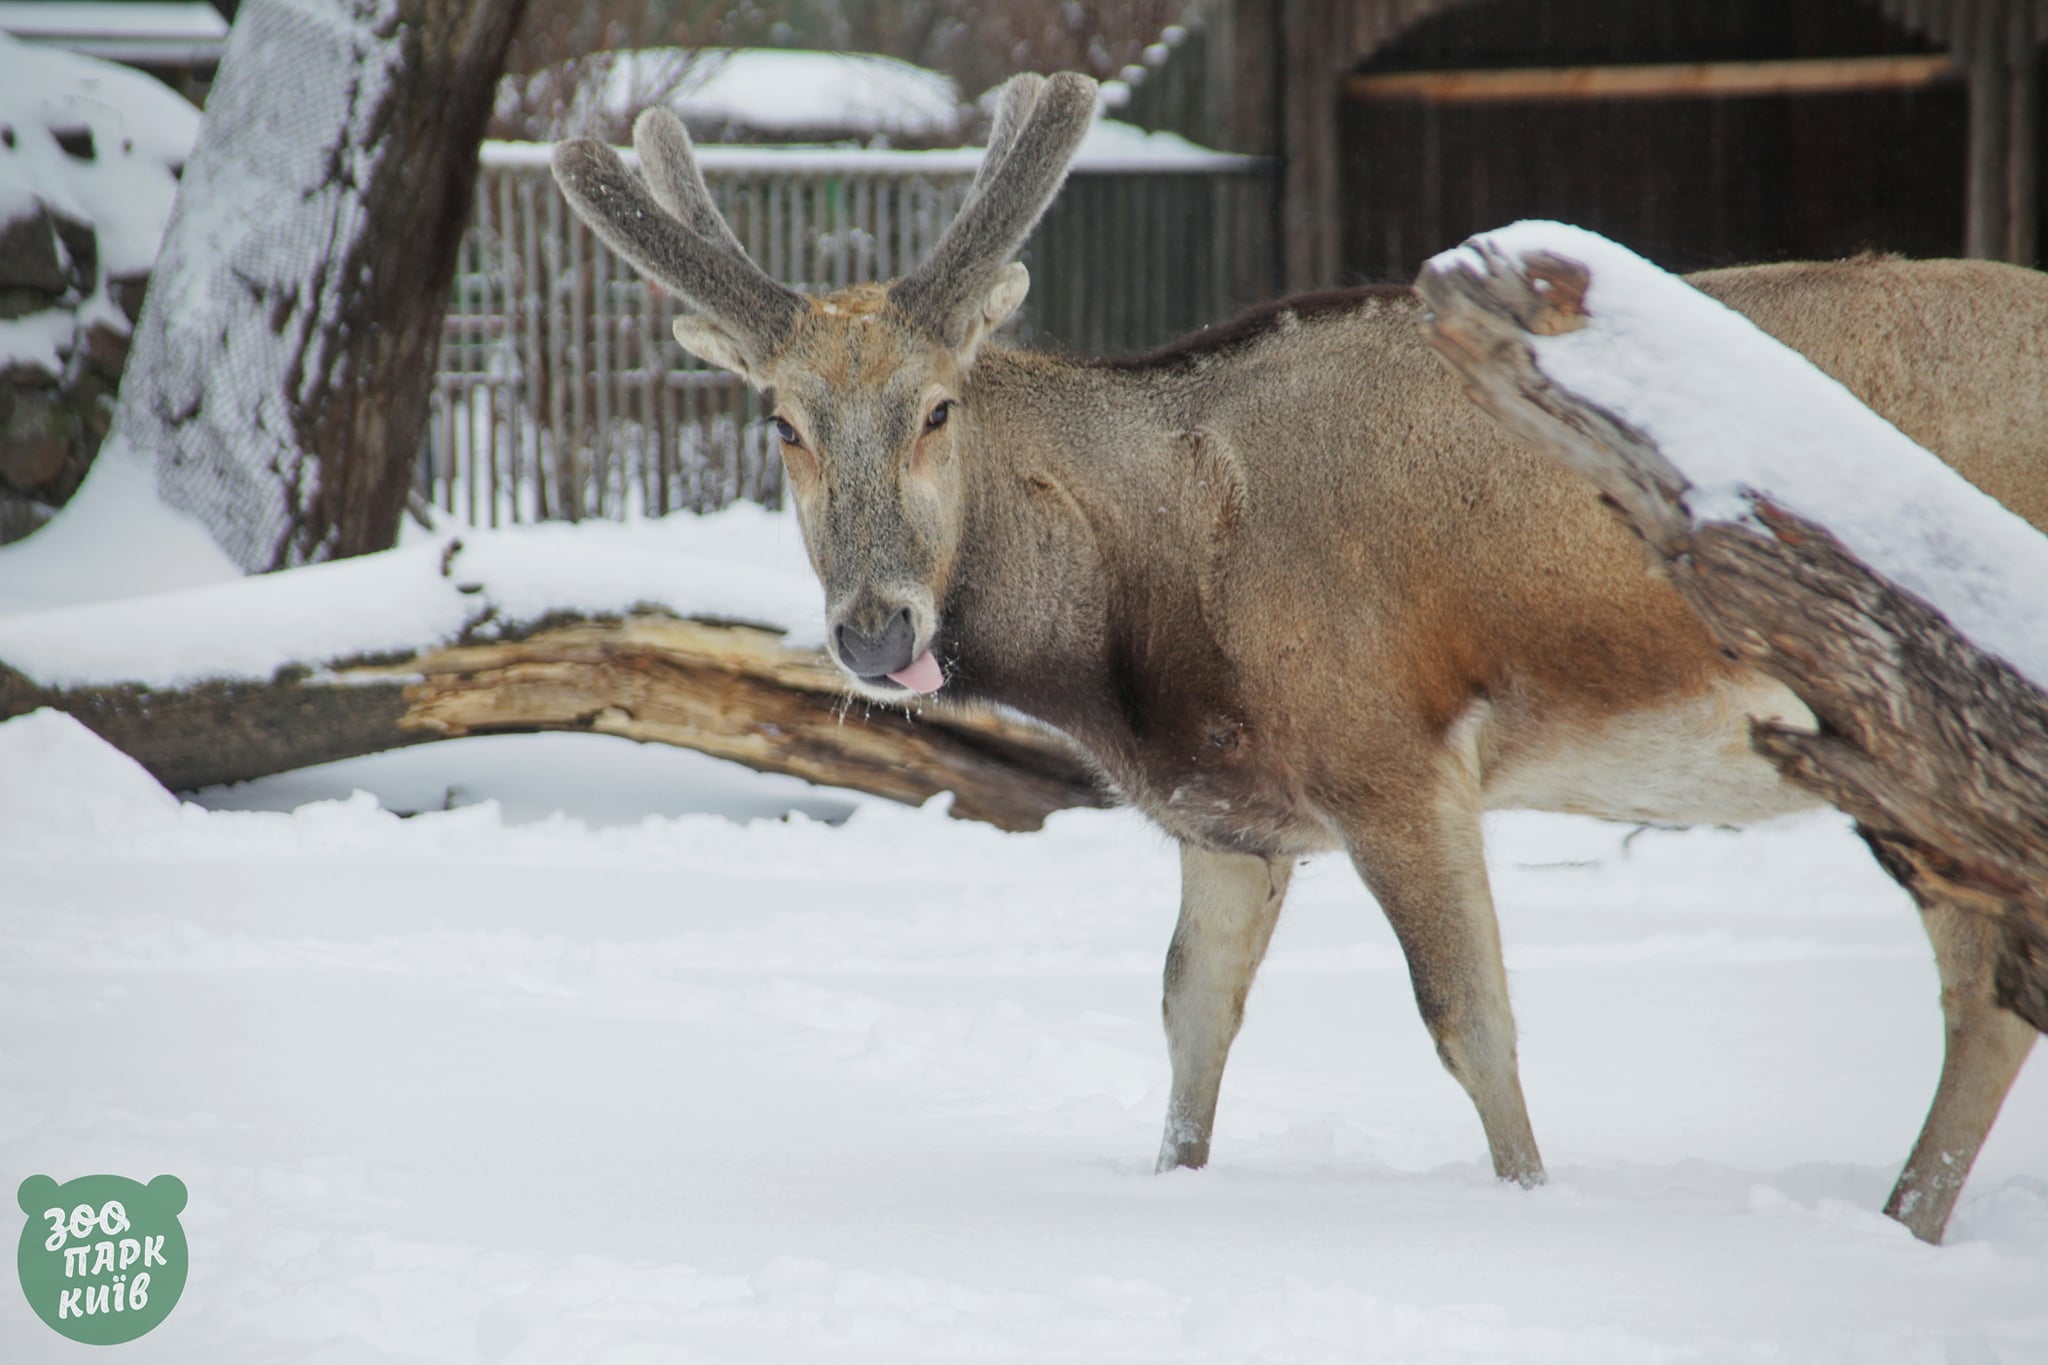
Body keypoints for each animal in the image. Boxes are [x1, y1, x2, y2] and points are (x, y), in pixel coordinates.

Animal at [548, 77, 2048, 1252]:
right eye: (781, 422)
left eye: (936, 408)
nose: (876, 631)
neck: (1143, 649)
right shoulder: (1231, 814)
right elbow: (1189, 1016)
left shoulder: (1393, 751)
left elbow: (1470, 1022)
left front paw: (1534, 1215)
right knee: (1985, 997)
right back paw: (1899, 1226)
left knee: (1987, 990)